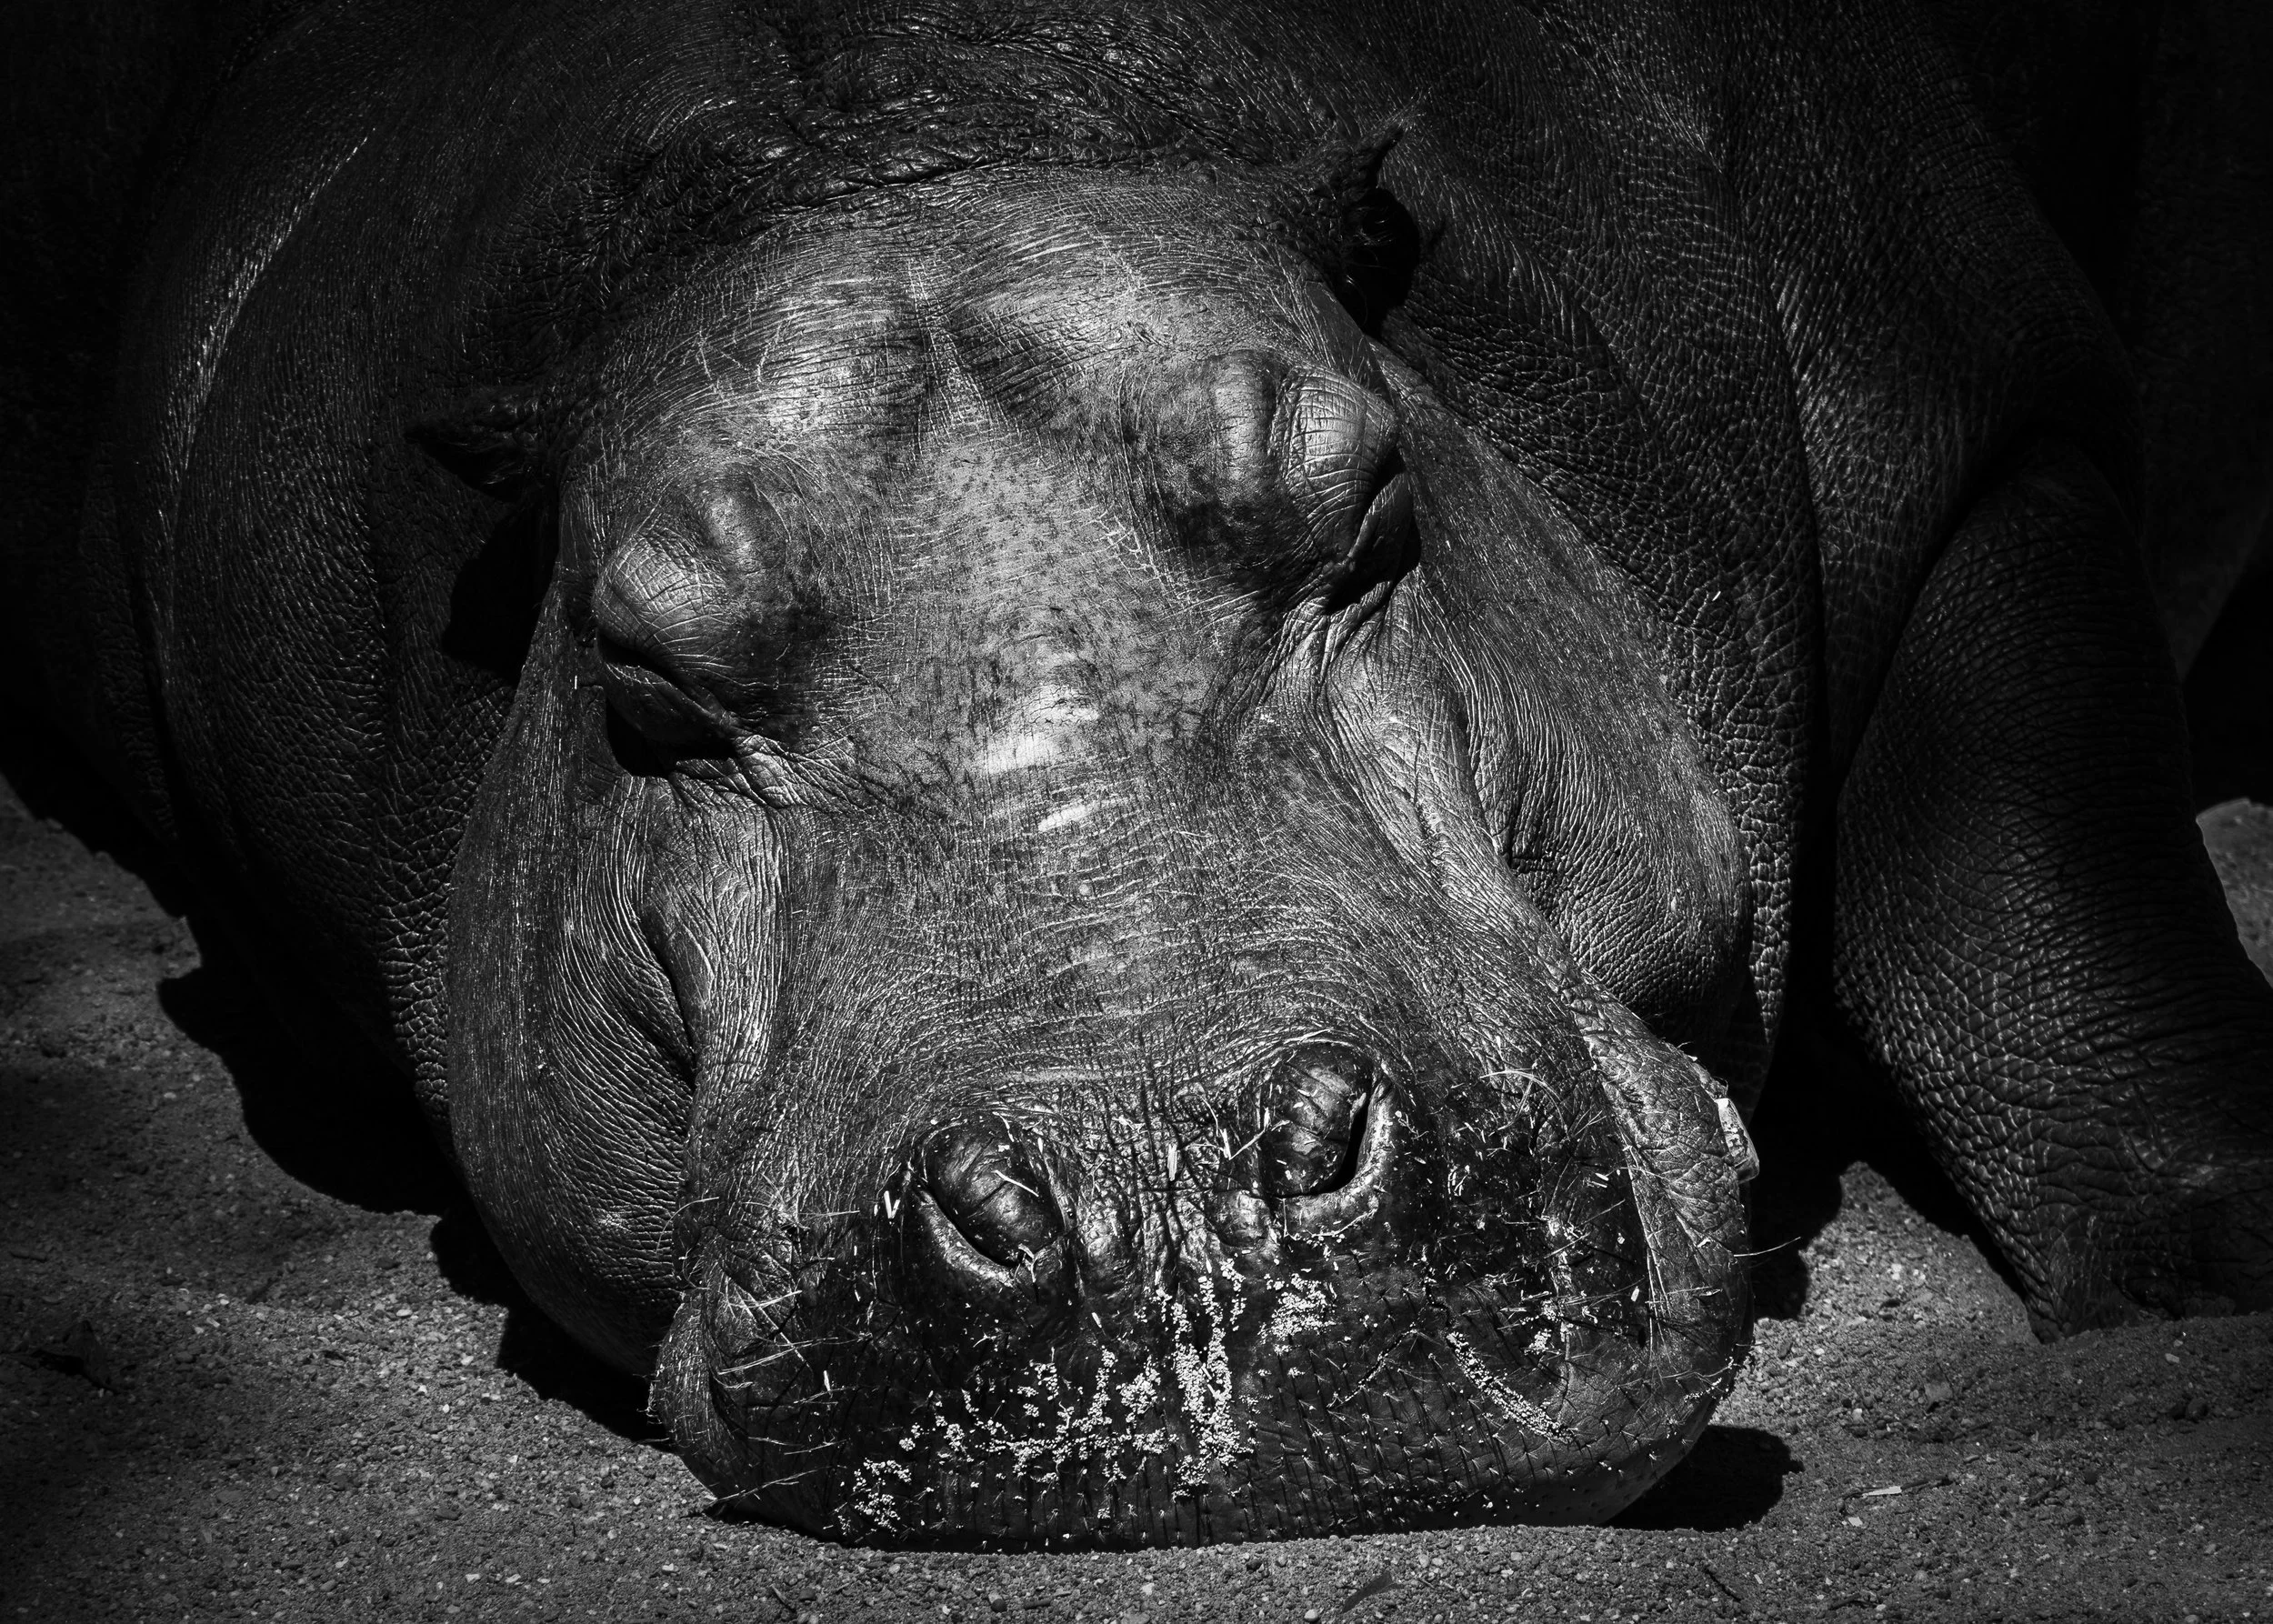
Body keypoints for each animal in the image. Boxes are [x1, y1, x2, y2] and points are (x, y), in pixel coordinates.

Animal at [3, 0, 2270, 1548]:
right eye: (639, 665)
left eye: (1362, 494)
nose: (1155, 1178)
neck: (921, 138)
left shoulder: (1977, 417)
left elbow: (2041, 867)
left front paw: (2215, 1274)